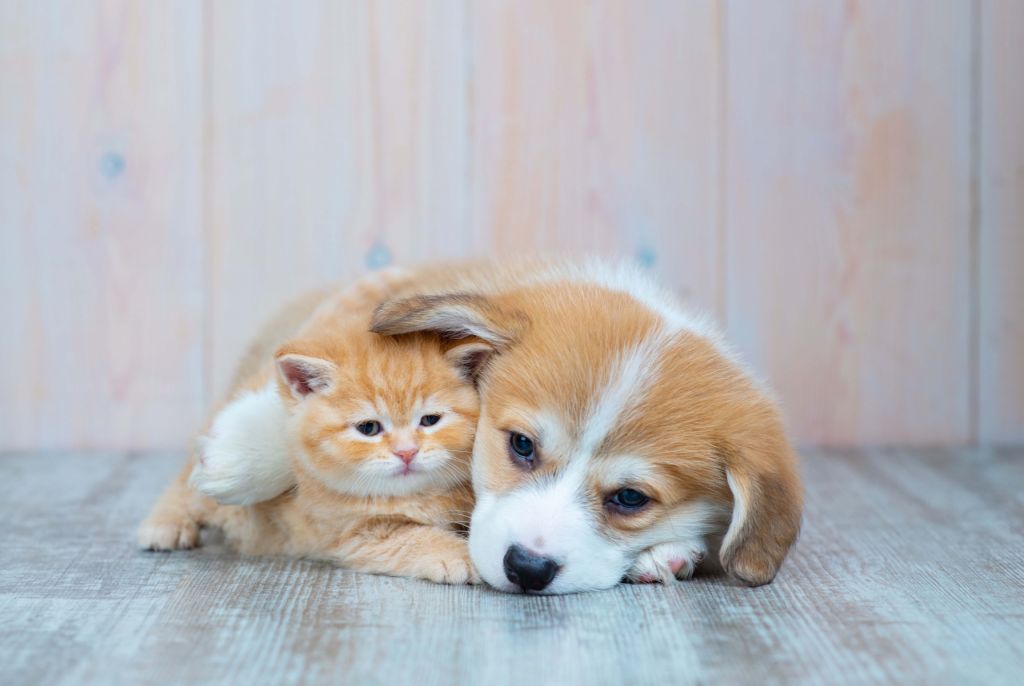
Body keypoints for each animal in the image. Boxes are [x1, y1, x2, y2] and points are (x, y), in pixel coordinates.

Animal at [138, 276, 489, 585]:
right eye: (369, 428)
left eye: (429, 421)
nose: (406, 452)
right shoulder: (353, 536)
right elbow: (410, 539)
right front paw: (459, 556)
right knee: (191, 478)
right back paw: (165, 524)